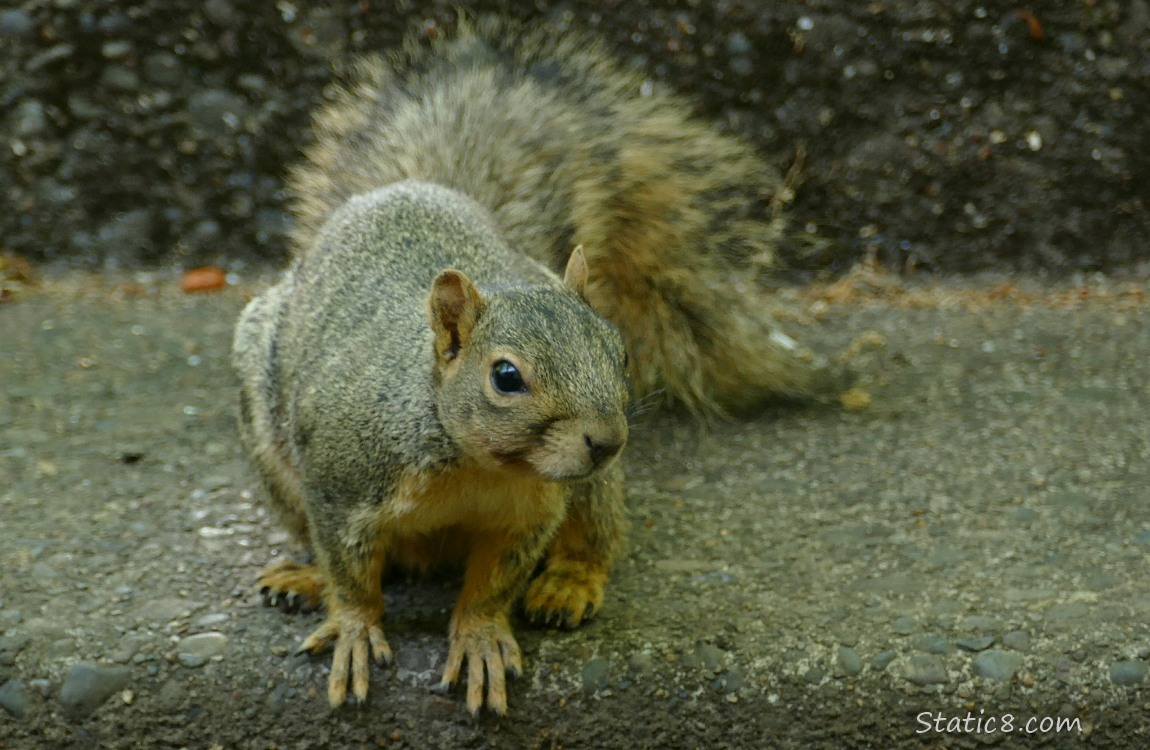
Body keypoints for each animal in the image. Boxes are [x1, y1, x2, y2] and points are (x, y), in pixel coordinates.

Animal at [233, 17, 841, 713]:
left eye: (620, 350)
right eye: (506, 377)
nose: (606, 441)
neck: (475, 466)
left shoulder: (530, 515)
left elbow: (494, 585)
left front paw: (480, 639)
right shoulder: (340, 481)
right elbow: (351, 574)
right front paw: (355, 629)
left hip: (597, 488)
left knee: (599, 535)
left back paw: (569, 584)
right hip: (276, 456)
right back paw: (303, 577)